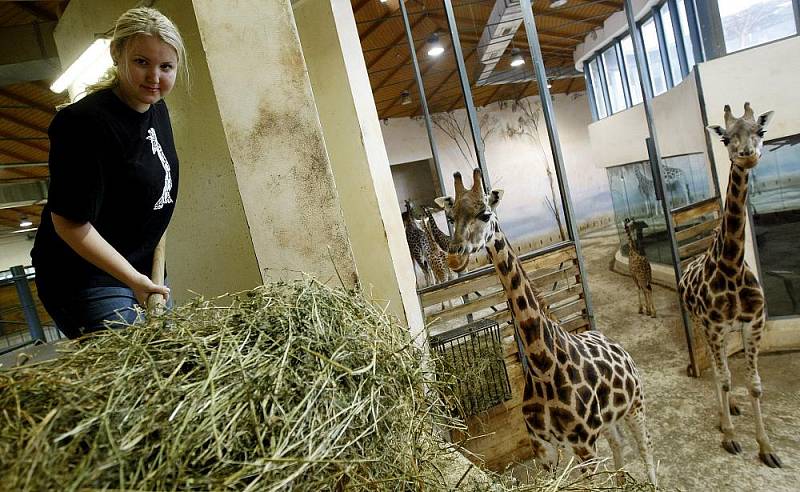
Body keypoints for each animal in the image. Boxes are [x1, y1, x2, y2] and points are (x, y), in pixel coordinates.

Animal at [438, 170, 656, 484]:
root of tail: (618, 345)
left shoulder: (585, 448)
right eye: (451, 216)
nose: (455, 256)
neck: (544, 365)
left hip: (635, 404)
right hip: (608, 420)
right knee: (619, 443)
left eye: (485, 213)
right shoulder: (543, 449)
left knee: (646, 447)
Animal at [676, 102, 780, 468]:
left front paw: (766, 447)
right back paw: (724, 418)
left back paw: (732, 408)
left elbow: (755, 385)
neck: (732, 267)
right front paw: (731, 436)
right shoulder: (714, 326)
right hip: (701, 325)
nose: (747, 156)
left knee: (723, 365)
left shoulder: (754, 324)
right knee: (715, 366)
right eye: (724, 139)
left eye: (761, 131)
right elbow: (723, 378)